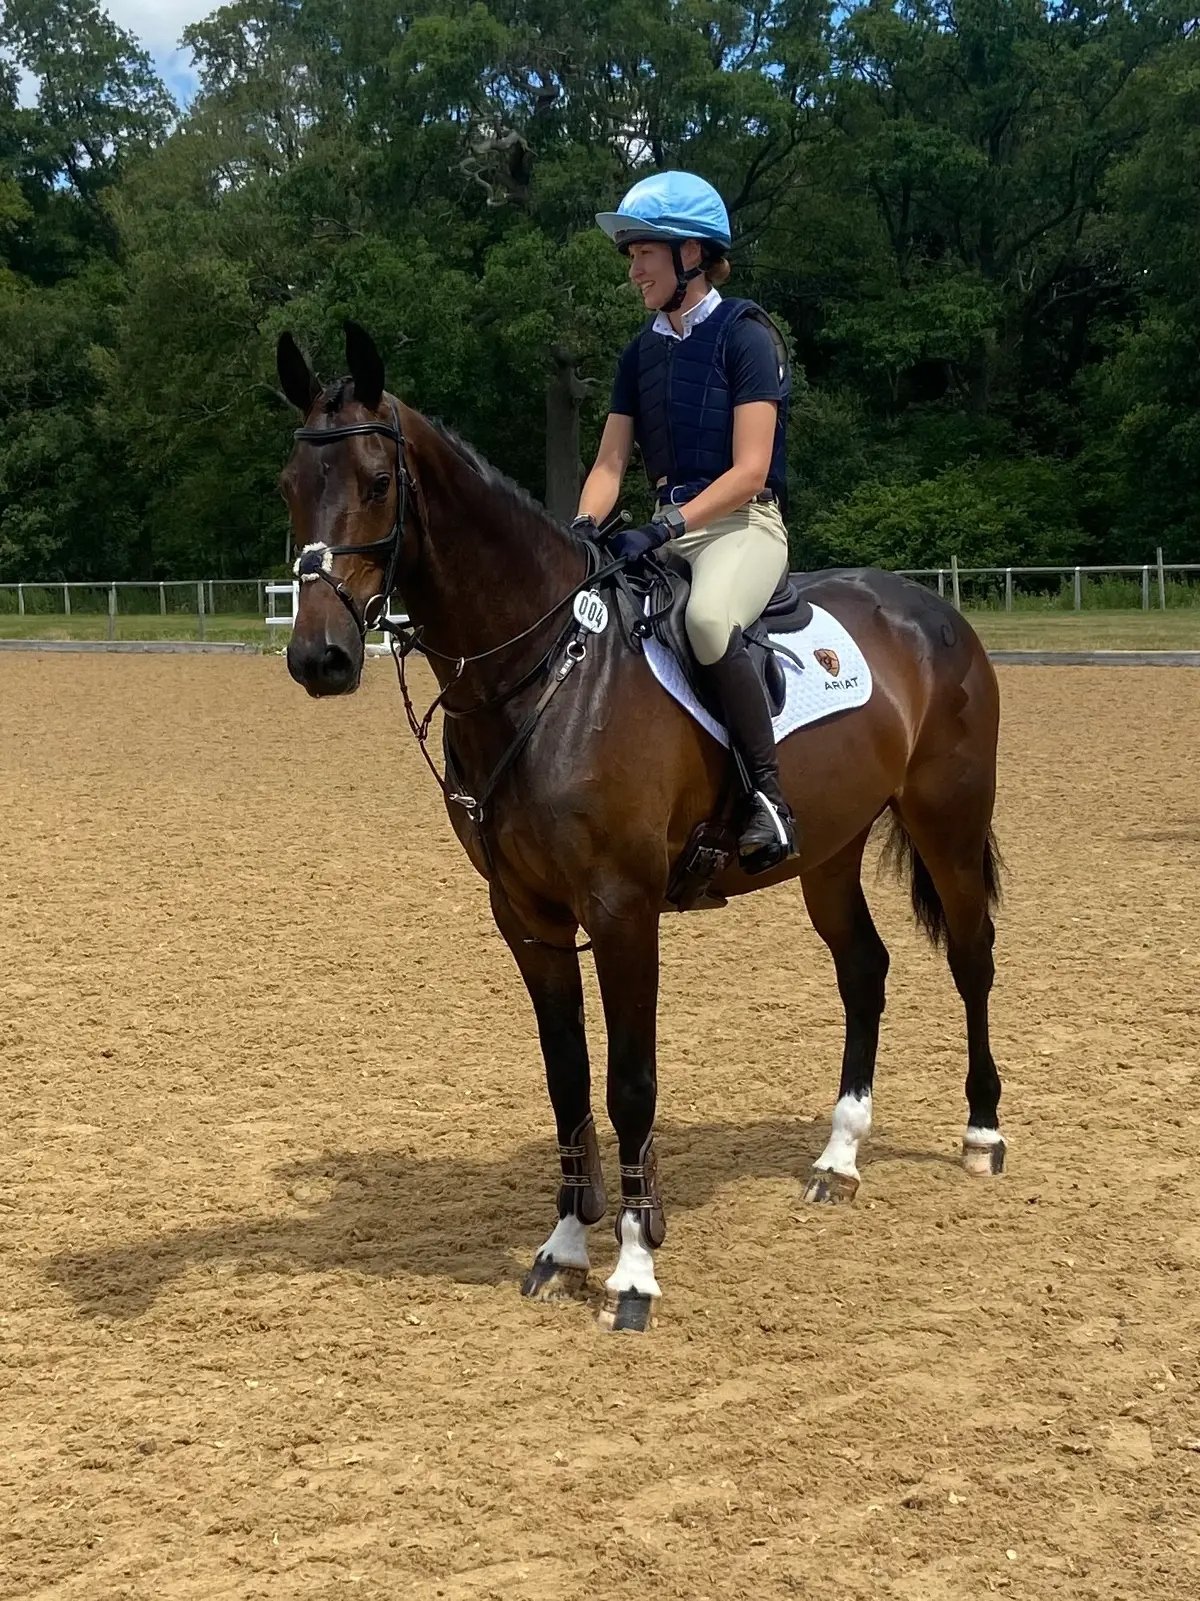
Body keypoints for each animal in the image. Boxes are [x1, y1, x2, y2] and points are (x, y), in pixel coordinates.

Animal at [275, 320, 1004, 1333]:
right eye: (289, 484)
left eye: (379, 481)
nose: (321, 658)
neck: (547, 670)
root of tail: (934, 610)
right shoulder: (529, 917)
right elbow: (567, 1079)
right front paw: (563, 1248)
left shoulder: (623, 911)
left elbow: (630, 1082)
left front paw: (631, 1271)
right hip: (830, 848)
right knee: (865, 967)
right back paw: (839, 1157)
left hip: (948, 817)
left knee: (971, 955)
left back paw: (982, 1132)